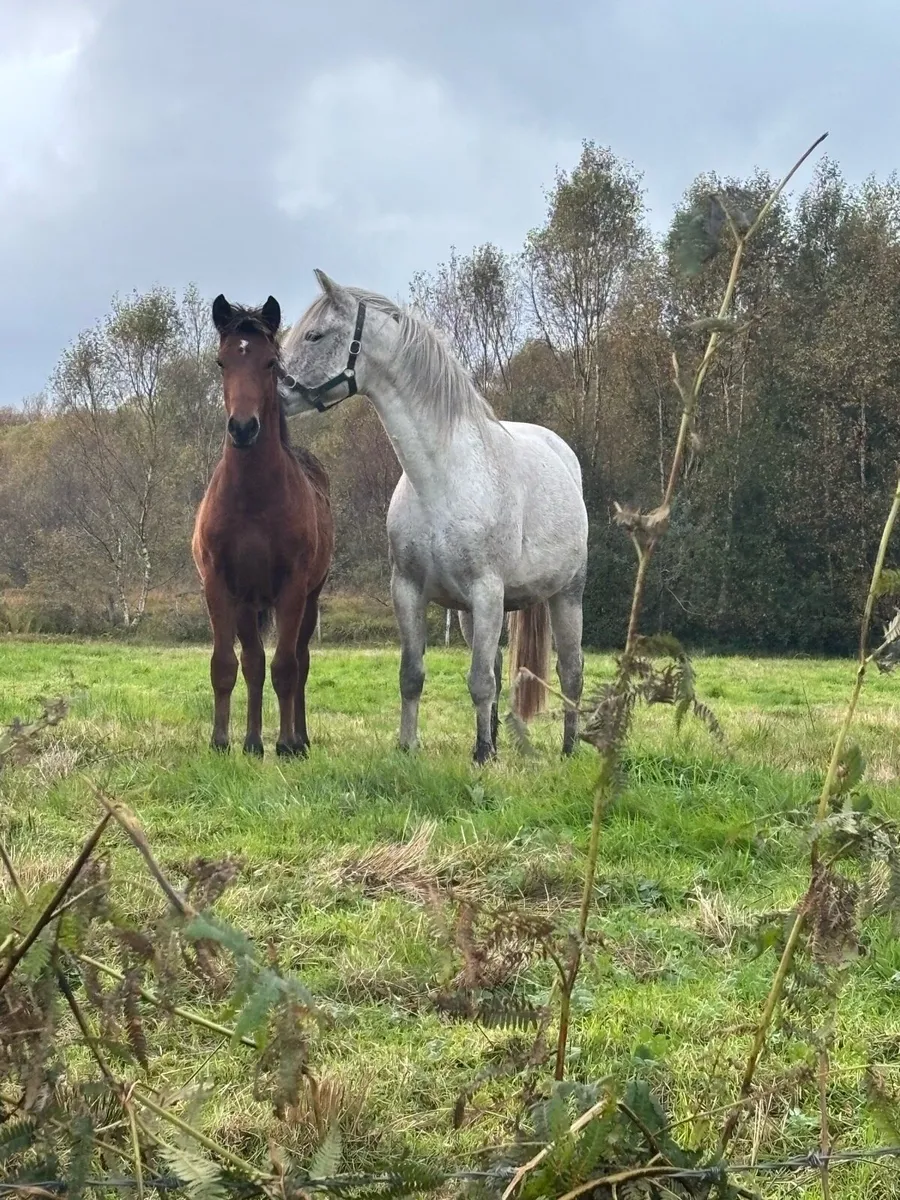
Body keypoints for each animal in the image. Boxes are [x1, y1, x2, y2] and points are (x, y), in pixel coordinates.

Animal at [191, 293, 333, 757]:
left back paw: (299, 739)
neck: (252, 500)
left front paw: (287, 743)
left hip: (309, 599)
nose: (242, 428)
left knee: (300, 661)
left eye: (270, 362)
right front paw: (220, 740)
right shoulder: (219, 586)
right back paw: (252, 741)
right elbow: (226, 665)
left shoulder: (293, 588)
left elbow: (286, 667)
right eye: (222, 361)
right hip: (247, 605)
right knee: (253, 663)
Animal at [277, 270, 587, 763]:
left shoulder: (486, 591)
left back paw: (568, 748)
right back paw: (496, 740)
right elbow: (414, 674)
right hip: (476, 613)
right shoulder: (409, 591)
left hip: (566, 595)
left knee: (570, 670)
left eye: (315, 335)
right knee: (496, 667)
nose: (273, 394)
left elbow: (479, 681)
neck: (442, 479)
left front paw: (480, 757)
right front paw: (409, 746)